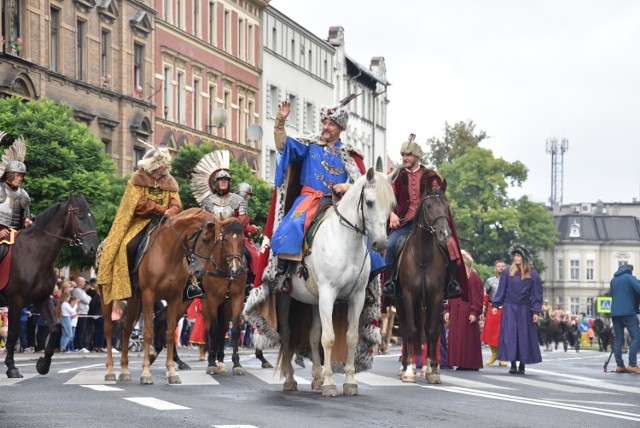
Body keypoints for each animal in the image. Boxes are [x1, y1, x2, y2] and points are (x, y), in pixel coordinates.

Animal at [0, 194, 97, 378]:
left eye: (92, 217)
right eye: (80, 216)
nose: (93, 248)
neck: (34, 253)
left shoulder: (42, 299)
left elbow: (54, 327)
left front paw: (43, 364)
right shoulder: (16, 301)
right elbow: (13, 333)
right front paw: (11, 367)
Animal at [276, 168, 396, 398]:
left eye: (392, 205)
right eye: (369, 202)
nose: (380, 243)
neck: (346, 241)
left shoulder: (357, 297)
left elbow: (351, 337)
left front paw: (349, 381)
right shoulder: (328, 293)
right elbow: (329, 338)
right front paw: (330, 383)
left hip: (314, 302)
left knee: (313, 335)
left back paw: (316, 378)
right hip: (287, 298)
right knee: (286, 334)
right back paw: (290, 380)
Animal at [396, 187, 450, 384]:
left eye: (446, 205)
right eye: (429, 206)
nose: (444, 233)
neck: (423, 258)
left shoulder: (436, 297)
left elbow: (432, 332)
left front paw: (433, 371)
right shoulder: (408, 296)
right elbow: (411, 331)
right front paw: (409, 371)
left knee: (425, 332)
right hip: (400, 302)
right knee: (406, 331)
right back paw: (406, 366)